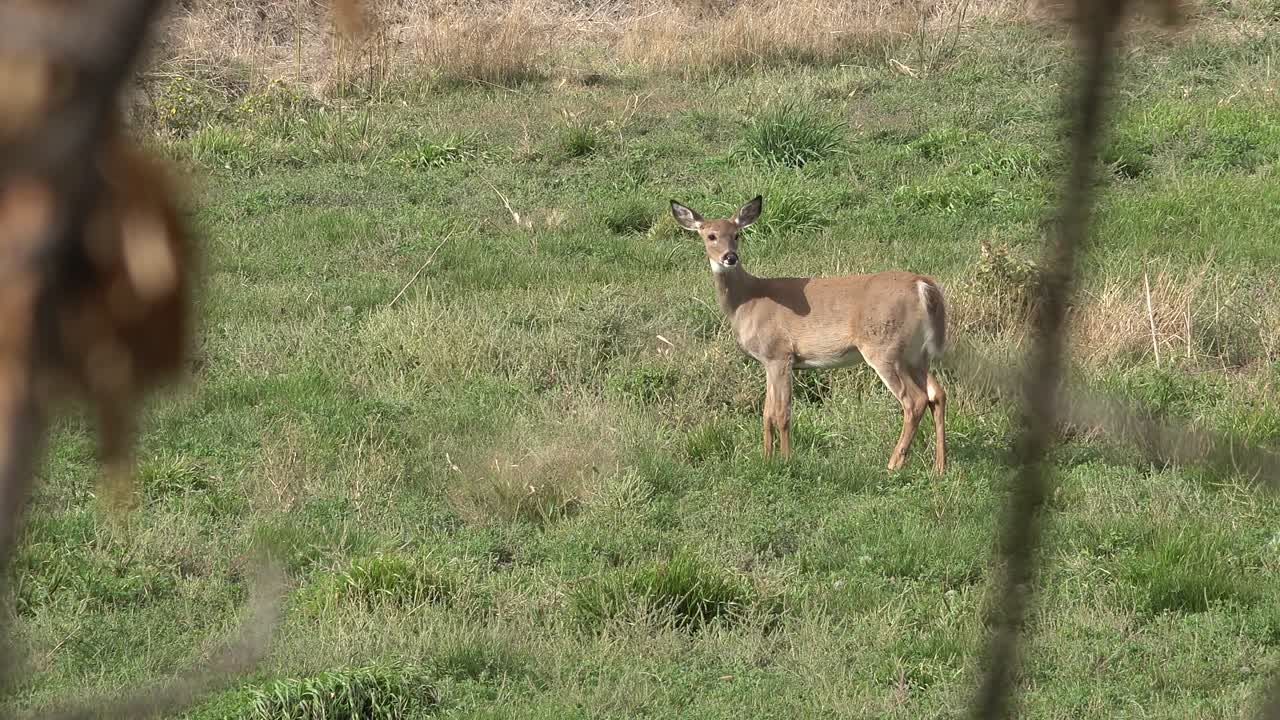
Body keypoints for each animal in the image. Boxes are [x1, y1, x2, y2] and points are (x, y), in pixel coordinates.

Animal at [669, 195, 948, 473]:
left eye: (737, 234)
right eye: (711, 236)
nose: (730, 257)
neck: (748, 300)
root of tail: (922, 285)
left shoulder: (779, 353)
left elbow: (782, 413)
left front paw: (785, 460)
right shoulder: (768, 361)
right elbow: (766, 413)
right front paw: (766, 458)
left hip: (884, 347)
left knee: (914, 400)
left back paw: (893, 464)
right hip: (915, 353)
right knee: (937, 394)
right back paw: (939, 466)